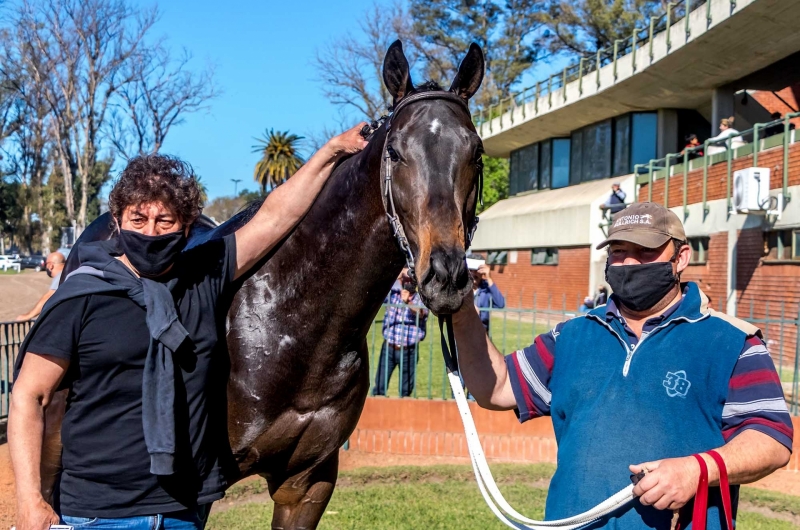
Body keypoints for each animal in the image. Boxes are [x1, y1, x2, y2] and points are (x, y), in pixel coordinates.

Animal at [59, 42, 484, 528]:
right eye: (395, 151)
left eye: (477, 152)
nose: (446, 275)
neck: (289, 319)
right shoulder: (199, 491)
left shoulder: (306, 483)